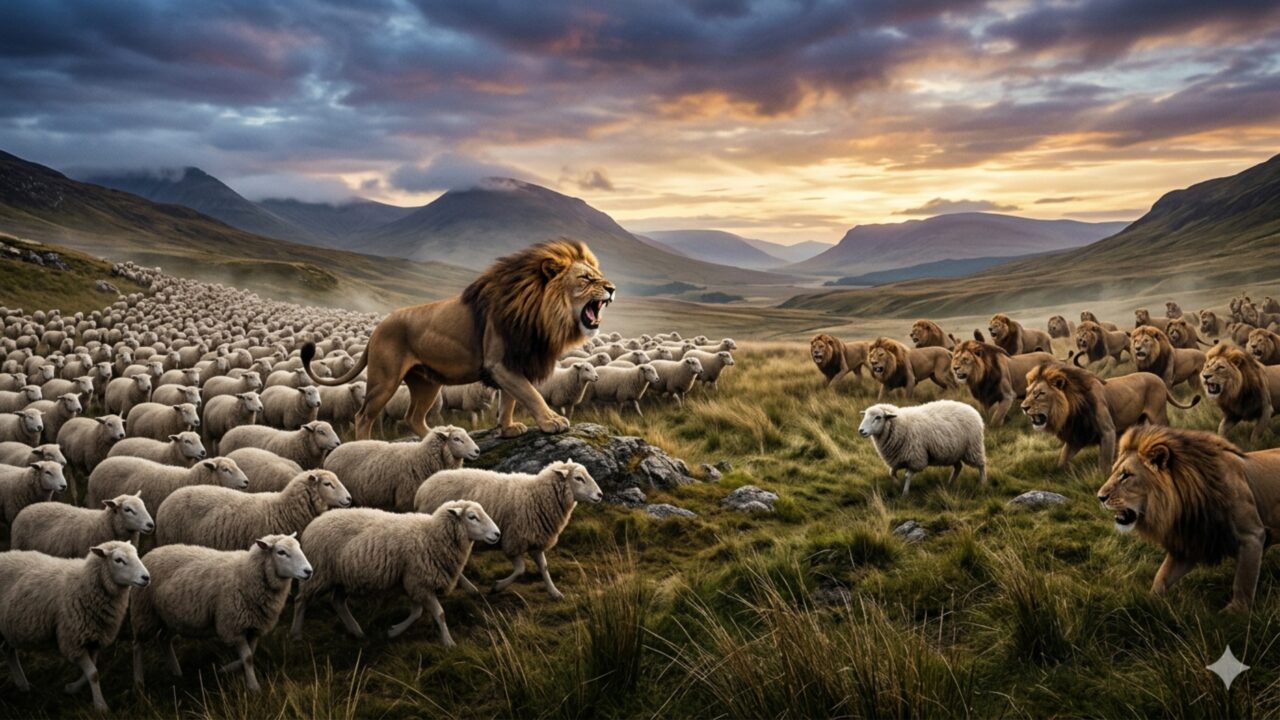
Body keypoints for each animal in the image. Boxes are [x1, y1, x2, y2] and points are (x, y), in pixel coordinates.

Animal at [303, 239, 615, 439]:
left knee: (413, 417)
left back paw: (436, 438)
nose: (612, 288)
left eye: (599, 276)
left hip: (427, 383)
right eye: (586, 278)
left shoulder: (514, 361)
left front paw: (507, 428)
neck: (541, 314)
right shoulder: (499, 363)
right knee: (363, 416)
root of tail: (378, 328)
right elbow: (530, 394)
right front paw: (552, 421)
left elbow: (510, 400)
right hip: (385, 380)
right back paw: (366, 447)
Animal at [1021, 363, 1198, 472]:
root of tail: (1159, 379)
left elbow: (1104, 463)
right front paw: (1060, 471)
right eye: (1028, 392)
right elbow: (1062, 459)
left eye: (1040, 394)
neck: (1073, 409)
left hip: (1158, 414)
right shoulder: (1078, 435)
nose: (1023, 407)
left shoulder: (1107, 432)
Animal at [1097, 424, 1280, 610]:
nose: (1100, 497)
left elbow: (1243, 582)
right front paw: (1149, 603)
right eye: (1114, 472)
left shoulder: (1252, 535)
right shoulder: (1191, 540)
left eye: (1126, 475)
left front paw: (1235, 611)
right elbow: (1162, 576)